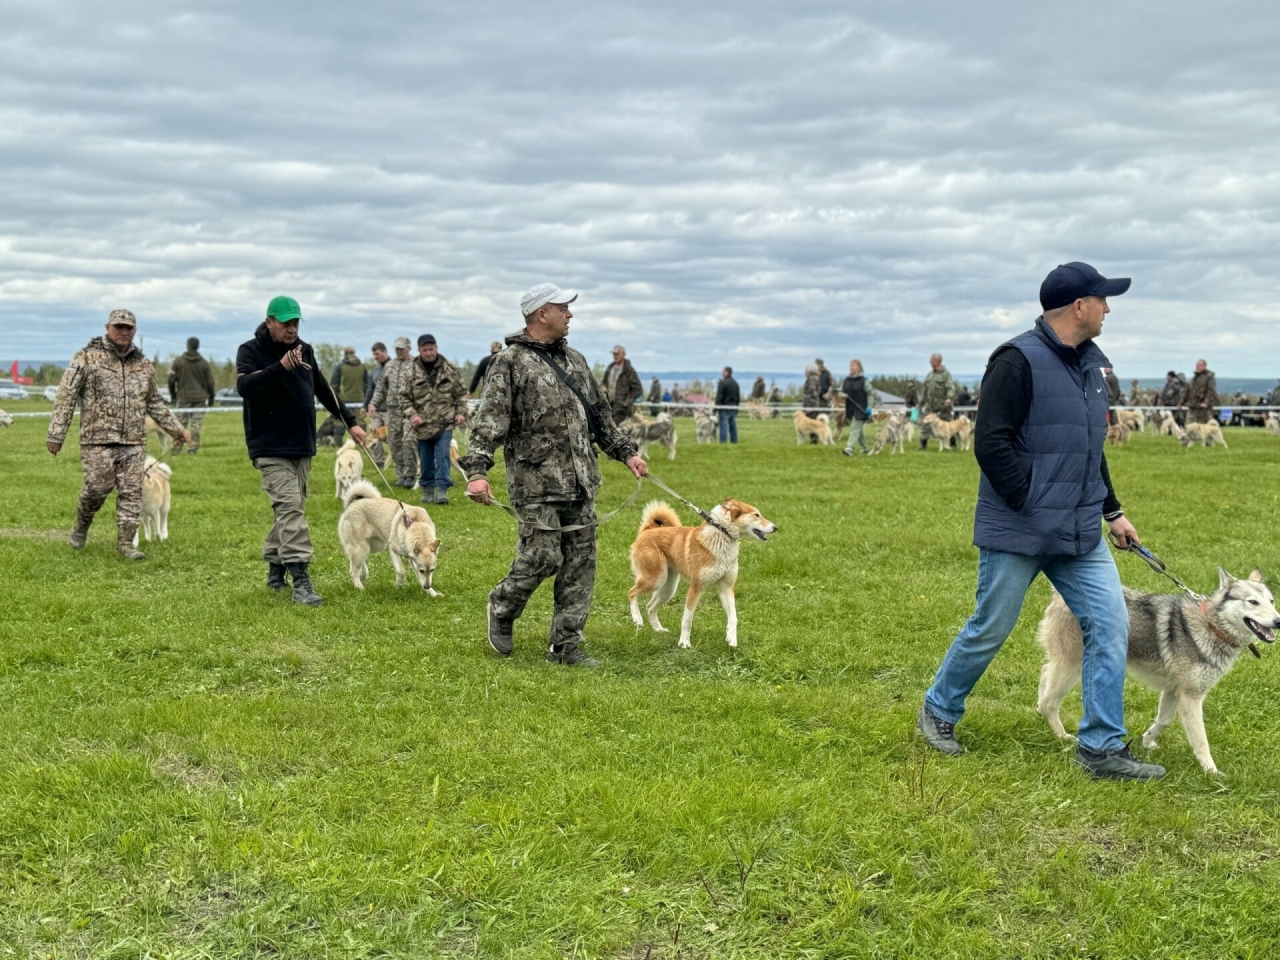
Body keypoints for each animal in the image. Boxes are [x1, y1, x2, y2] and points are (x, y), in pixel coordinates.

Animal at [624, 499, 773, 650]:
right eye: (756, 515)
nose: (775, 527)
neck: (722, 534)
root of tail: (648, 530)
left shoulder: (726, 587)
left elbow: (733, 617)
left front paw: (732, 640)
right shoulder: (696, 587)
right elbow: (687, 619)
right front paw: (684, 642)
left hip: (668, 588)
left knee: (650, 606)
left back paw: (658, 629)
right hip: (655, 579)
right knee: (632, 592)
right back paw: (637, 618)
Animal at [1039, 570, 1280, 773]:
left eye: (1271, 601)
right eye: (1252, 602)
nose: (1278, 621)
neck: (1212, 626)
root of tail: (1059, 595)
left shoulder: (1173, 691)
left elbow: (1163, 721)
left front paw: (1147, 741)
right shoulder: (1191, 697)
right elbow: (1201, 741)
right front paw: (1212, 772)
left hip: (1066, 664)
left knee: (1044, 673)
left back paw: (1039, 709)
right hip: (1072, 668)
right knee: (1051, 700)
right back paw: (1061, 735)